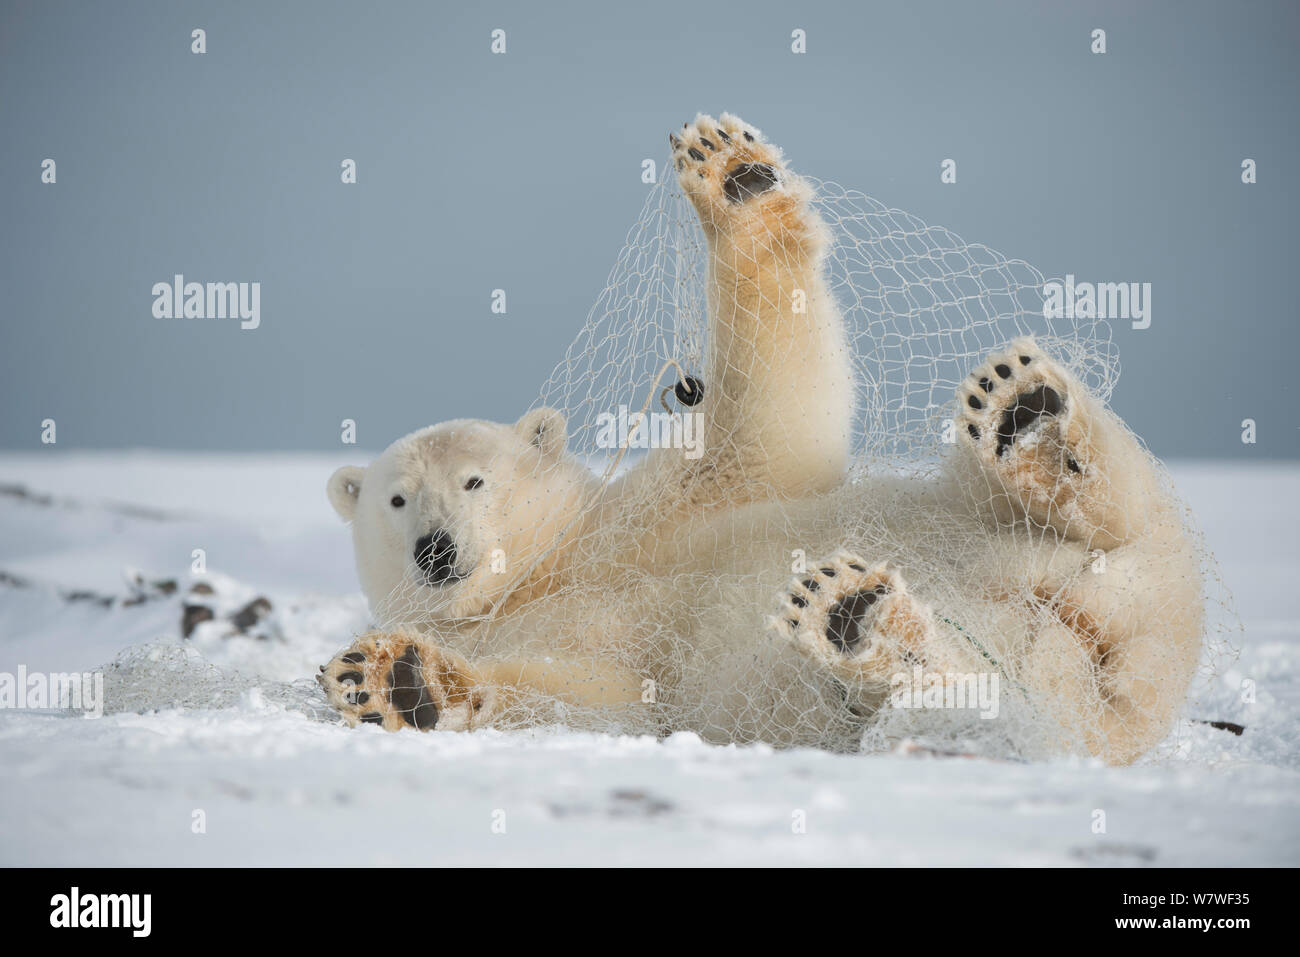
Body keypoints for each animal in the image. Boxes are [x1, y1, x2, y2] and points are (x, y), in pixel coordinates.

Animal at [319, 115, 1201, 764]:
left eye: (475, 480)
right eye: (397, 499)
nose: (436, 548)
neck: (541, 575)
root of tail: (1115, 683)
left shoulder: (648, 518)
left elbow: (769, 423)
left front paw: (732, 176)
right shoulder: (551, 637)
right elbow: (592, 693)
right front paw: (401, 680)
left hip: (1013, 541)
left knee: (1121, 522)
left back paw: (1030, 423)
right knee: (936, 699)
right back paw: (862, 621)